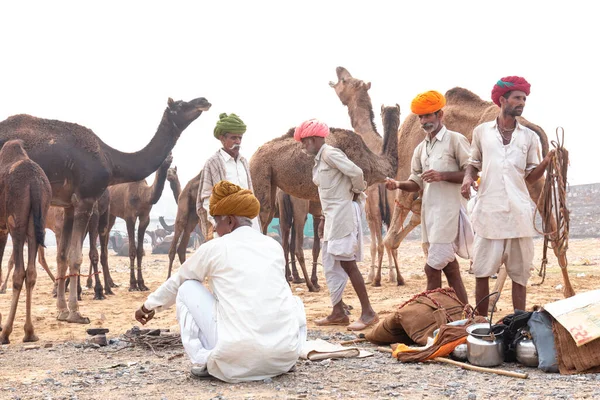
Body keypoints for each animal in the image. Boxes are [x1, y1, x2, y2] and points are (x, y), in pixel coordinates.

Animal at [0, 141, 51, 344]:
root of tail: (35, 182)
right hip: (38, 218)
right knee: (30, 272)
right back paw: (29, 333)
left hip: (17, 221)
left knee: (19, 272)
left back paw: (5, 333)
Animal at [108, 153, 172, 290]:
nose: (169, 159)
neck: (142, 194)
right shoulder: (129, 216)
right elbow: (132, 250)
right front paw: (132, 284)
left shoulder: (145, 217)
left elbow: (140, 250)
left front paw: (142, 284)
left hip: (111, 215)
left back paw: (110, 283)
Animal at [330, 67, 400, 286]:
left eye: (345, 80)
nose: (338, 68)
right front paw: (391, 275)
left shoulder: (368, 204)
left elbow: (374, 243)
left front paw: (371, 276)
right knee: (391, 239)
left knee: (380, 242)